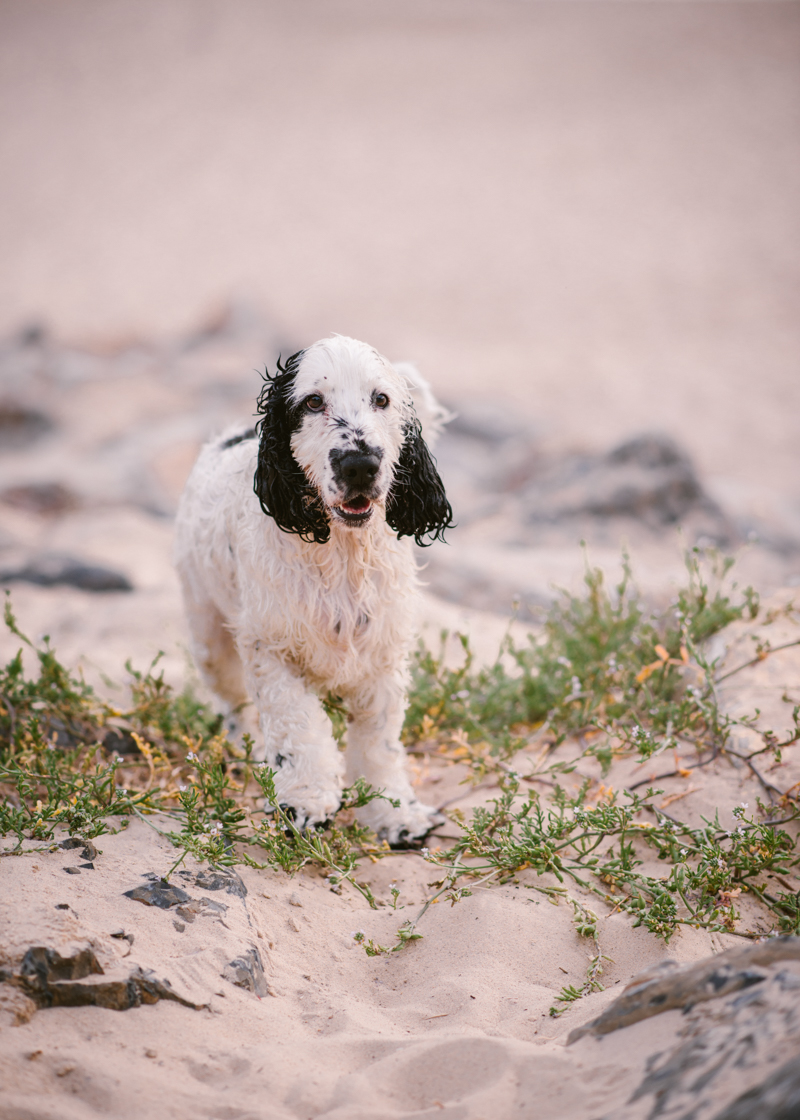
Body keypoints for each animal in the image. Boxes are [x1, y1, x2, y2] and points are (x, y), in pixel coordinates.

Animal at [173, 331, 448, 842]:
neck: (341, 553)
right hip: (209, 637)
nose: (360, 465)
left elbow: (379, 742)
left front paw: (395, 813)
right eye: (313, 401)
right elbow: (299, 728)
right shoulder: (271, 650)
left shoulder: (383, 659)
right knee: (234, 704)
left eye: (381, 399)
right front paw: (304, 802)